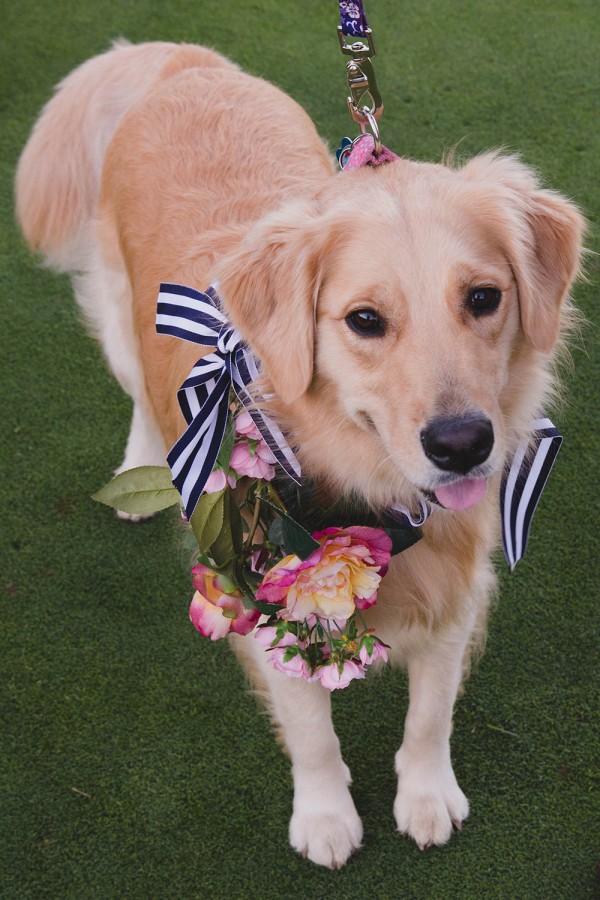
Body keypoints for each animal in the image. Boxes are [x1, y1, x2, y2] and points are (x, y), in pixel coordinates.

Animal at [16, 40, 584, 864]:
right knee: (138, 398)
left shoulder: (458, 588)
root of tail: (184, 64)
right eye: (365, 319)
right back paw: (137, 468)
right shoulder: (252, 590)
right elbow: (312, 730)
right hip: (122, 318)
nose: (462, 444)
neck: (373, 488)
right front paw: (324, 815)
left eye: (483, 298)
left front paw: (426, 796)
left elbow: (430, 716)